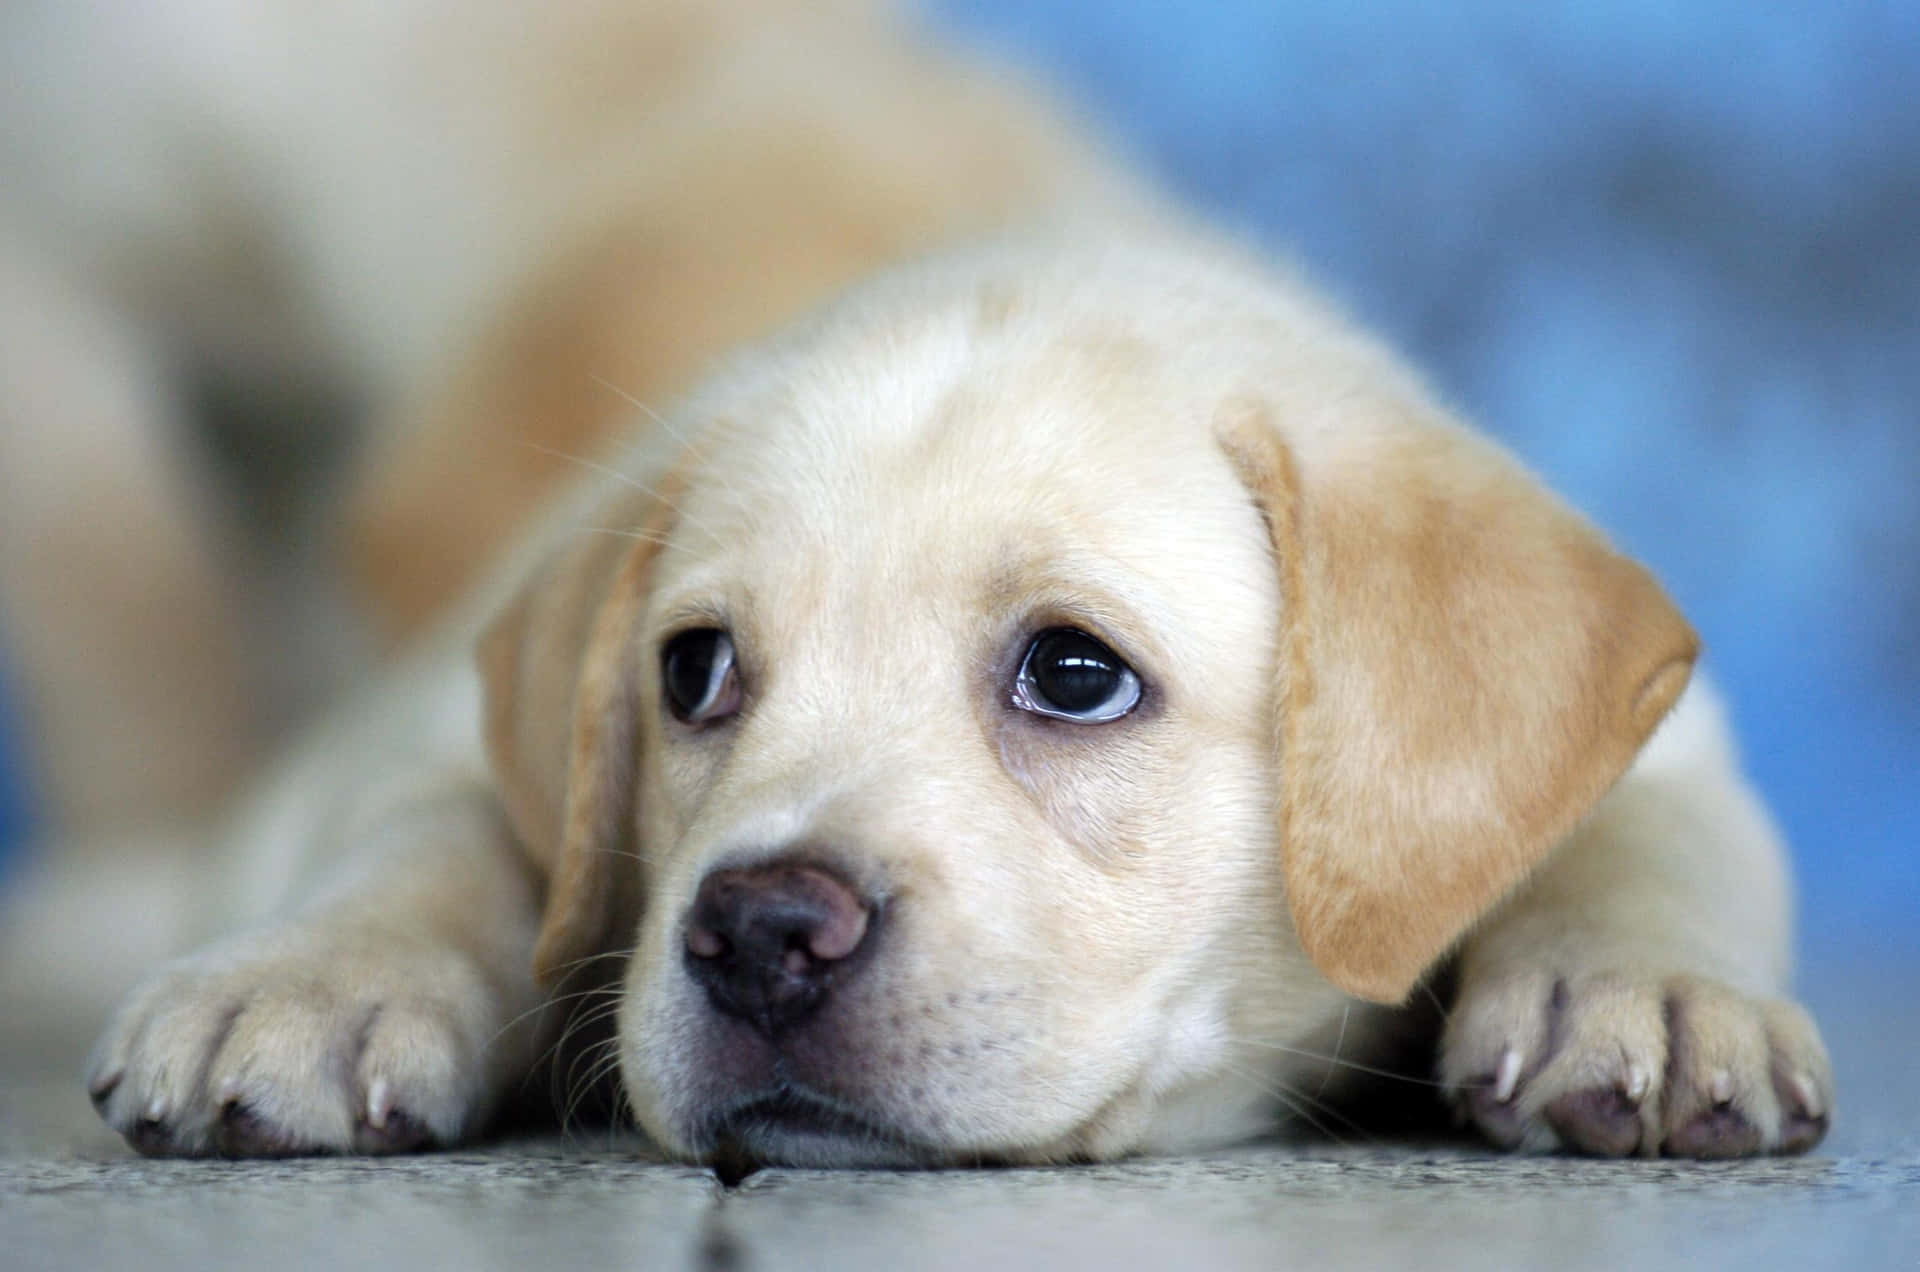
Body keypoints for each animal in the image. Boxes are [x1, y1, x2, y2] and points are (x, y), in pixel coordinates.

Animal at [86, 226, 1827, 1168]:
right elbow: (439, 833)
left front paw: (1647, 992)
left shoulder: (1679, 745)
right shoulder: (444, 742)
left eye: (1074, 674)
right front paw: (314, 980)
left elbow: (1650, 833)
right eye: (694, 672)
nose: (758, 935)